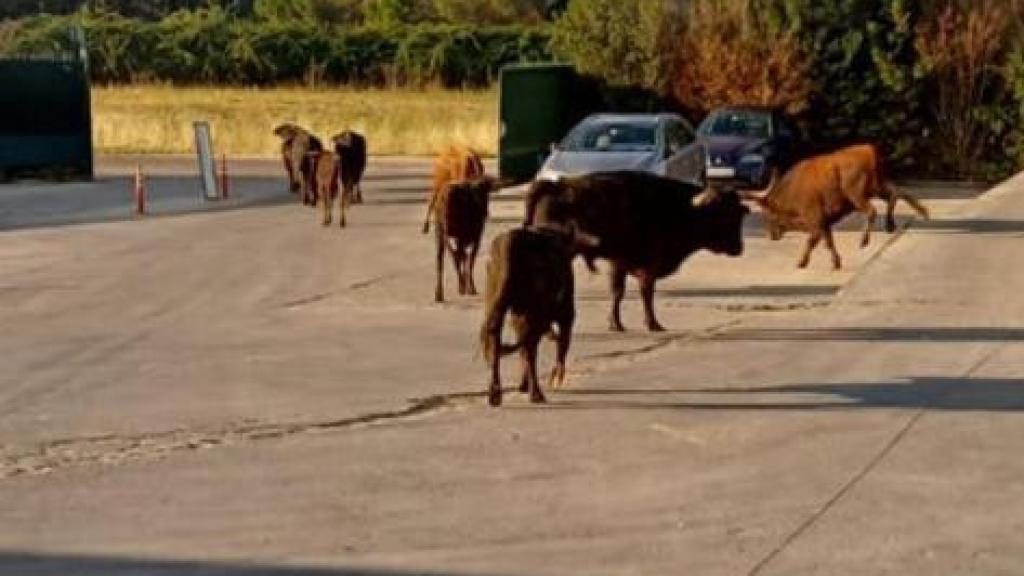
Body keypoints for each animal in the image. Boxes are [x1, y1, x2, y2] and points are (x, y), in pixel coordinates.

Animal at [483, 224, 598, 403]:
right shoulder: (566, 314)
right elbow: (563, 344)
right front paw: (556, 377)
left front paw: (523, 385)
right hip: (532, 313)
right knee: (530, 348)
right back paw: (536, 393)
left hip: (497, 307)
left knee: (497, 342)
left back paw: (496, 394)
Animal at [524, 170, 749, 332]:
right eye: (722, 215)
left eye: (738, 214)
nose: (738, 248)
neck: (681, 208)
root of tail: (555, 185)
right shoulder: (648, 266)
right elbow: (645, 293)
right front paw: (653, 324)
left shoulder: (618, 262)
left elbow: (617, 292)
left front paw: (615, 324)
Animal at [741, 143, 933, 268]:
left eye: (767, 214)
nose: (770, 235)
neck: (792, 194)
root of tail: (869, 150)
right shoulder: (824, 223)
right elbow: (829, 242)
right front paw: (836, 262)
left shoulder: (815, 220)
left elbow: (813, 241)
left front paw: (802, 262)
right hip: (878, 186)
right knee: (897, 193)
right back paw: (900, 220)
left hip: (857, 195)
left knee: (873, 209)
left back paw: (864, 240)